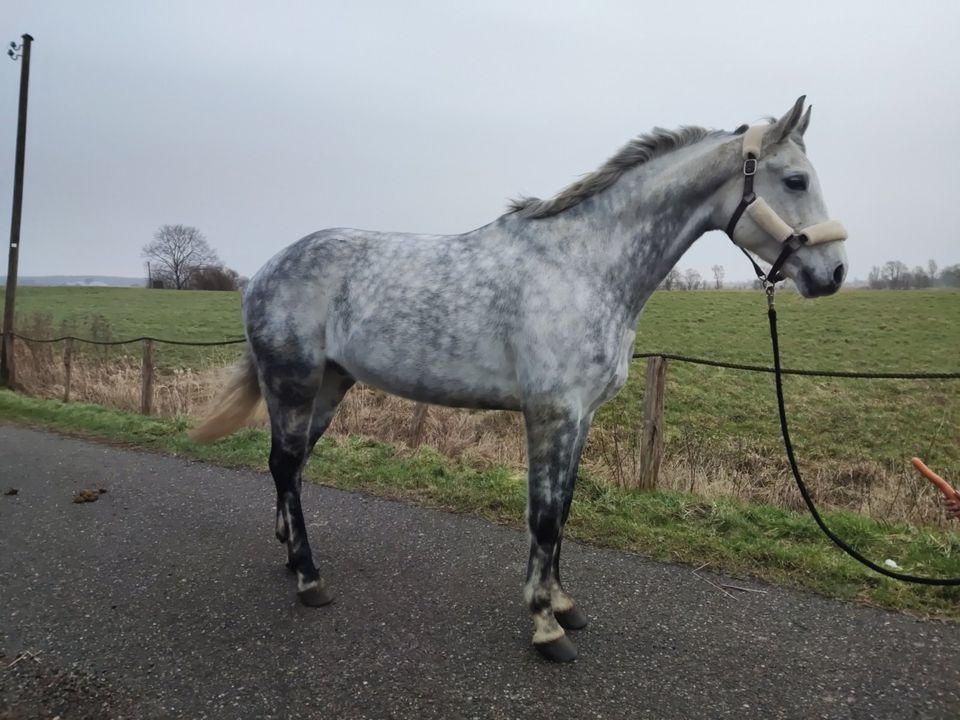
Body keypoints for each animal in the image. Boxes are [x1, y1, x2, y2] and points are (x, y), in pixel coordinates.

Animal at [193, 97, 848, 664]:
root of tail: (265, 271)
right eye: (795, 180)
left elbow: (565, 508)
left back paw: (290, 555)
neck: (585, 266)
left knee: (293, 466)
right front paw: (545, 625)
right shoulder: (551, 413)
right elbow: (544, 516)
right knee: (284, 464)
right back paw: (309, 579)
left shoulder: (581, 415)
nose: (835, 273)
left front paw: (563, 603)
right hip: (294, 382)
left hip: (330, 385)